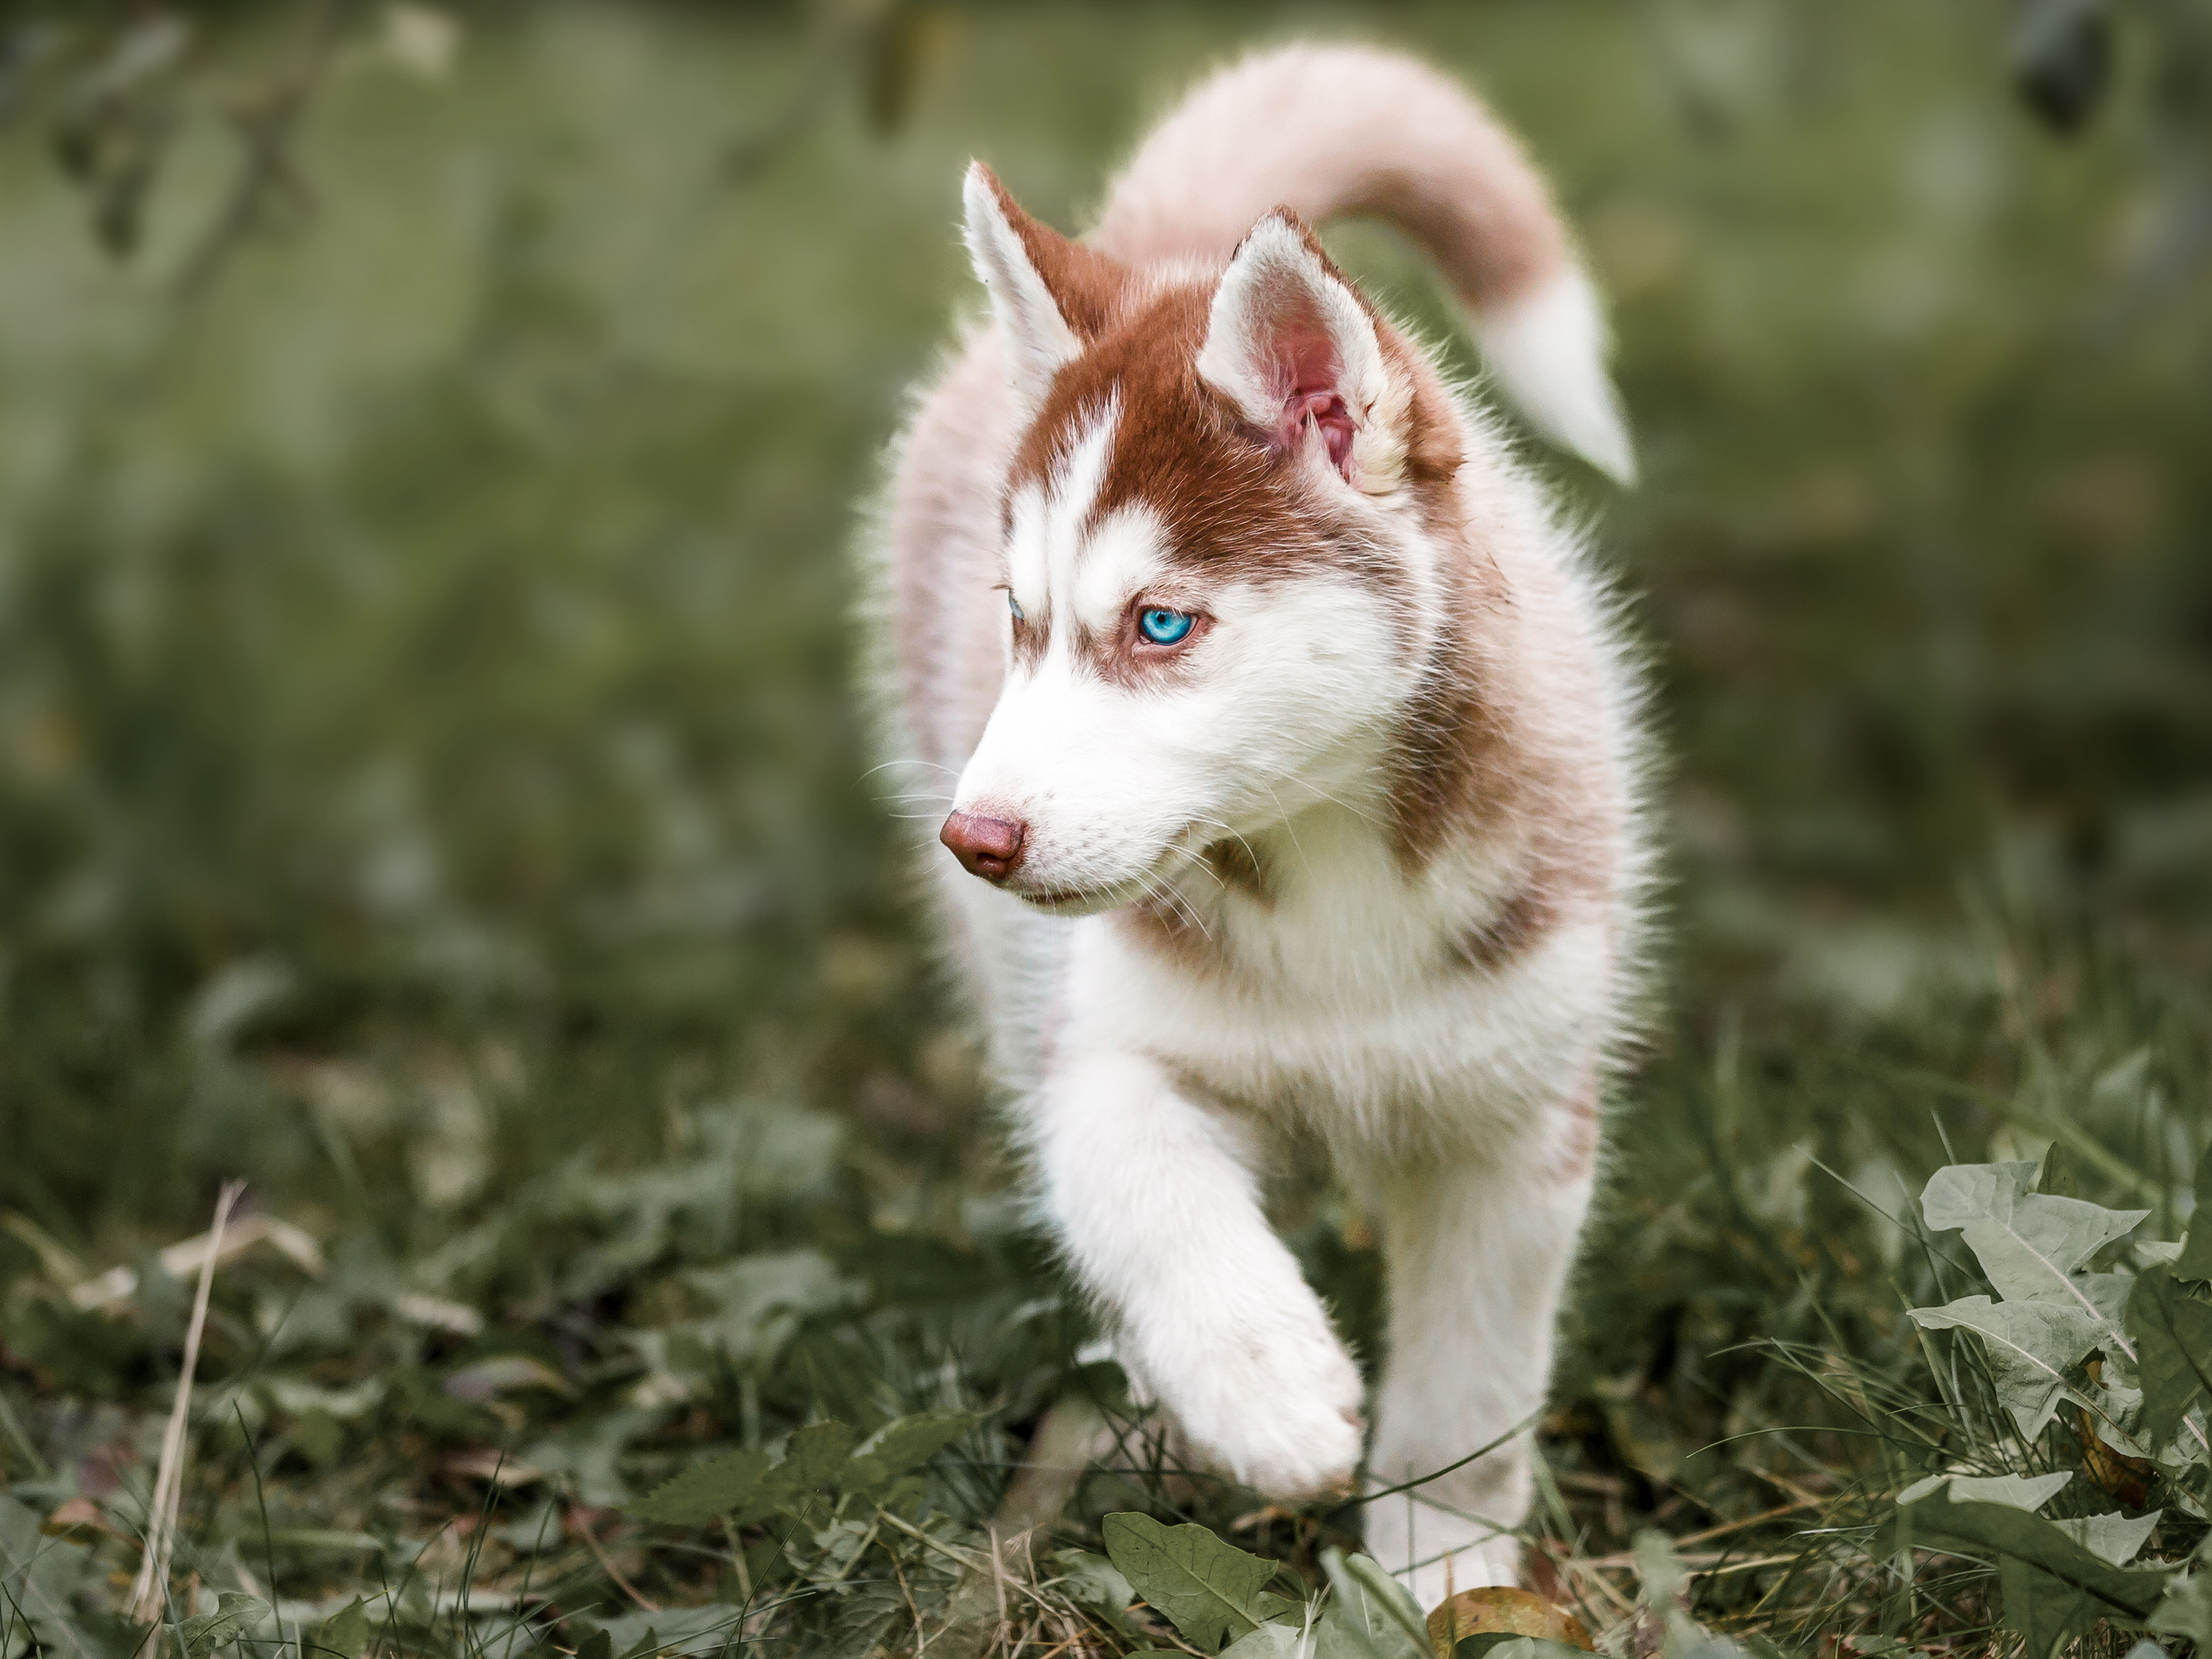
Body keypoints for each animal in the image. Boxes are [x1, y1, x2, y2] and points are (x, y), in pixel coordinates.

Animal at [871, 45, 1654, 1601]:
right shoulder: (1099, 1042)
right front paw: (1263, 1388)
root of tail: (1177, 240)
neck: (1328, 850)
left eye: (1161, 624)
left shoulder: (1517, 1121)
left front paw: (1442, 1586)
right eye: (1019, 619)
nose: (974, 841)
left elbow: (1470, 1400)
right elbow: (1141, 1189)